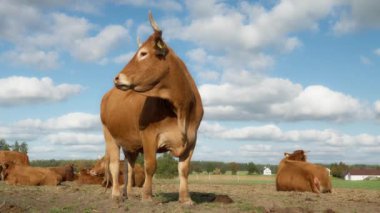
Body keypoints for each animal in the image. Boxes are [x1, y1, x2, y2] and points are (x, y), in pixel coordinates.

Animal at [99, 12, 203, 205]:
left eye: (143, 53)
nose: (117, 78)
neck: (181, 108)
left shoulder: (192, 138)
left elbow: (184, 169)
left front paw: (186, 199)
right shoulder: (148, 135)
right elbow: (150, 165)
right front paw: (147, 196)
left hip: (130, 143)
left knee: (129, 166)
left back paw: (128, 194)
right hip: (109, 135)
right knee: (115, 165)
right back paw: (116, 195)